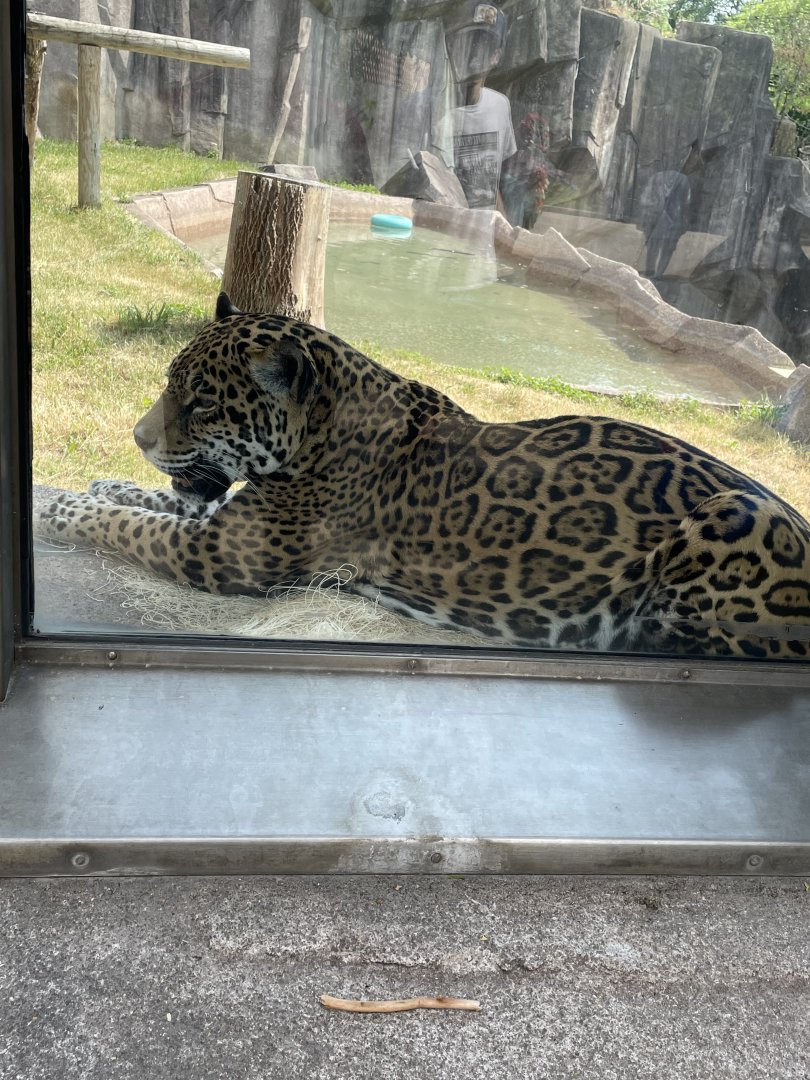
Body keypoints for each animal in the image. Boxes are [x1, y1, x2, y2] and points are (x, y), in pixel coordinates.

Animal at [36, 291, 810, 659]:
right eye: (173, 383)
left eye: (199, 401)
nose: (137, 438)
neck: (323, 427)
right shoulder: (227, 519)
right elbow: (147, 501)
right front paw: (92, 484)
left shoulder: (226, 553)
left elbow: (129, 524)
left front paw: (59, 509)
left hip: (734, 515)